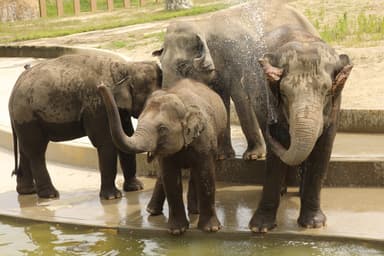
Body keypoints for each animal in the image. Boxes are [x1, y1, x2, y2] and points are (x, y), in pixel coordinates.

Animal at [8, 53, 162, 200]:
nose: (101, 86)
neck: (126, 68)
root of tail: (14, 89)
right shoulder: (97, 106)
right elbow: (106, 142)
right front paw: (113, 197)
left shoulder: (119, 109)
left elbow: (126, 134)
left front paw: (136, 188)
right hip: (27, 116)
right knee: (36, 151)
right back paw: (50, 195)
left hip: (24, 119)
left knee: (25, 150)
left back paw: (27, 191)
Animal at [97, 79, 228, 235]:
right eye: (139, 121)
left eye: (162, 129)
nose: (101, 85)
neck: (182, 103)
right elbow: (169, 177)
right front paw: (177, 230)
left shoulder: (205, 138)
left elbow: (205, 175)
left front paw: (211, 229)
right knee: (163, 175)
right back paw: (152, 211)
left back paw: (194, 212)